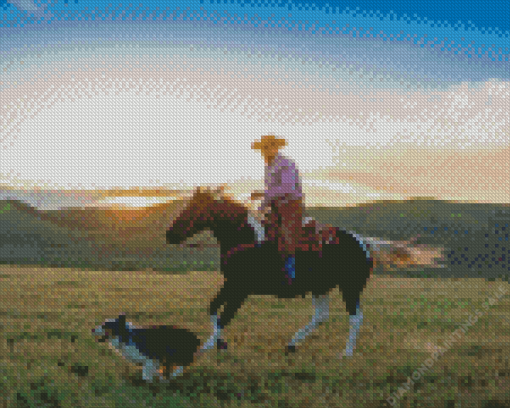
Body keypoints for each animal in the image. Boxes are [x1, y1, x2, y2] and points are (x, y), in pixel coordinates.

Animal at [167, 186, 374, 358]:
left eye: (194, 208)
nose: (170, 234)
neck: (246, 239)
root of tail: (362, 242)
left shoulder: (240, 289)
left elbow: (224, 318)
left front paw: (203, 350)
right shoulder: (230, 283)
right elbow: (213, 309)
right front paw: (220, 344)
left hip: (350, 287)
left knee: (356, 317)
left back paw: (346, 353)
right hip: (320, 288)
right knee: (321, 316)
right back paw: (292, 344)